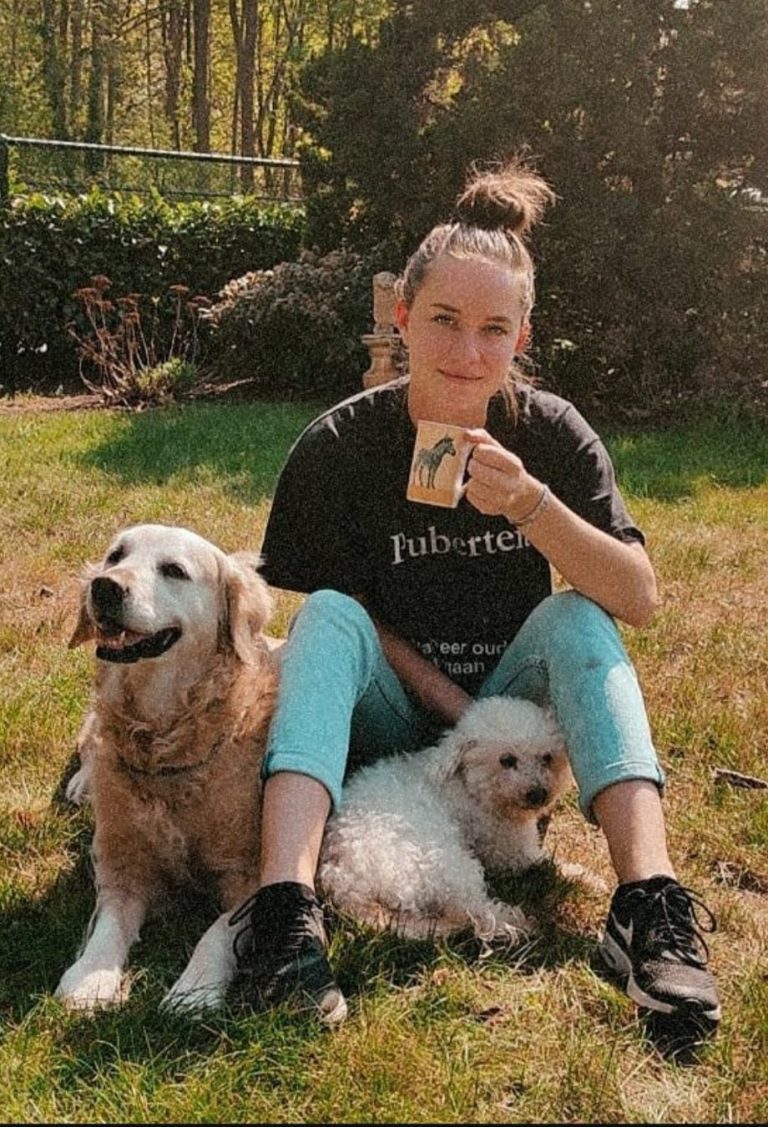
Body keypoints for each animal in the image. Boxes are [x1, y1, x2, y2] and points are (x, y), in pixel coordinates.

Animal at [56, 523, 276, 1013]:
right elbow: (108, 929)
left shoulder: (249, 873)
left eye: (174, 570)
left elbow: (219, 930)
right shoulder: (123, 865)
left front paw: (196, 987)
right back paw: (81, 785)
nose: (105, 587)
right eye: (116, 556)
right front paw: (89, 979)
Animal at [318, 696, 573, 942]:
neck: (469, 786)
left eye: (546, 758)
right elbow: (553, 863)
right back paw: (518, 922)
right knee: (477, 913)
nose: (538, 794)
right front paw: (579, 874)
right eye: (507, 760)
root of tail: (344, 881)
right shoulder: (511, 853)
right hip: (449, 865)